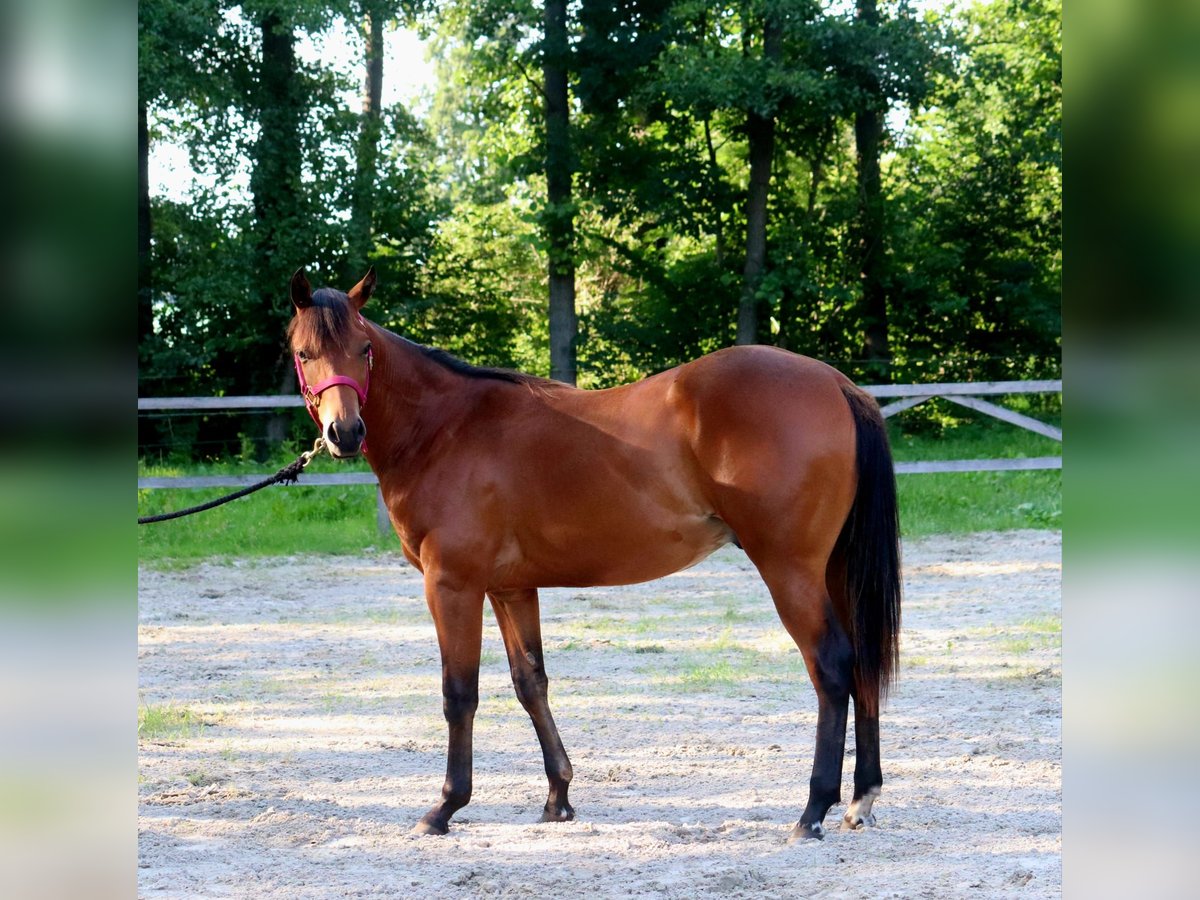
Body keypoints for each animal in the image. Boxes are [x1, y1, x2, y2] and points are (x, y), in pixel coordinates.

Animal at [286, 267, 901, 842]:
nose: (344, 432)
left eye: (364, 349)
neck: (445, 429)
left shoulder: (452, 584)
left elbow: (459, 694)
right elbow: (530, 683)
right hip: (835, 571)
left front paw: (444, 807)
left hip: (790, 571)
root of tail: (837, 384)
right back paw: (861, 799)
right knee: (862, 663)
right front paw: (558, 798)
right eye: (303, 352)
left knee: (832, 667)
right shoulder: (510, 587)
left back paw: (812, 811)